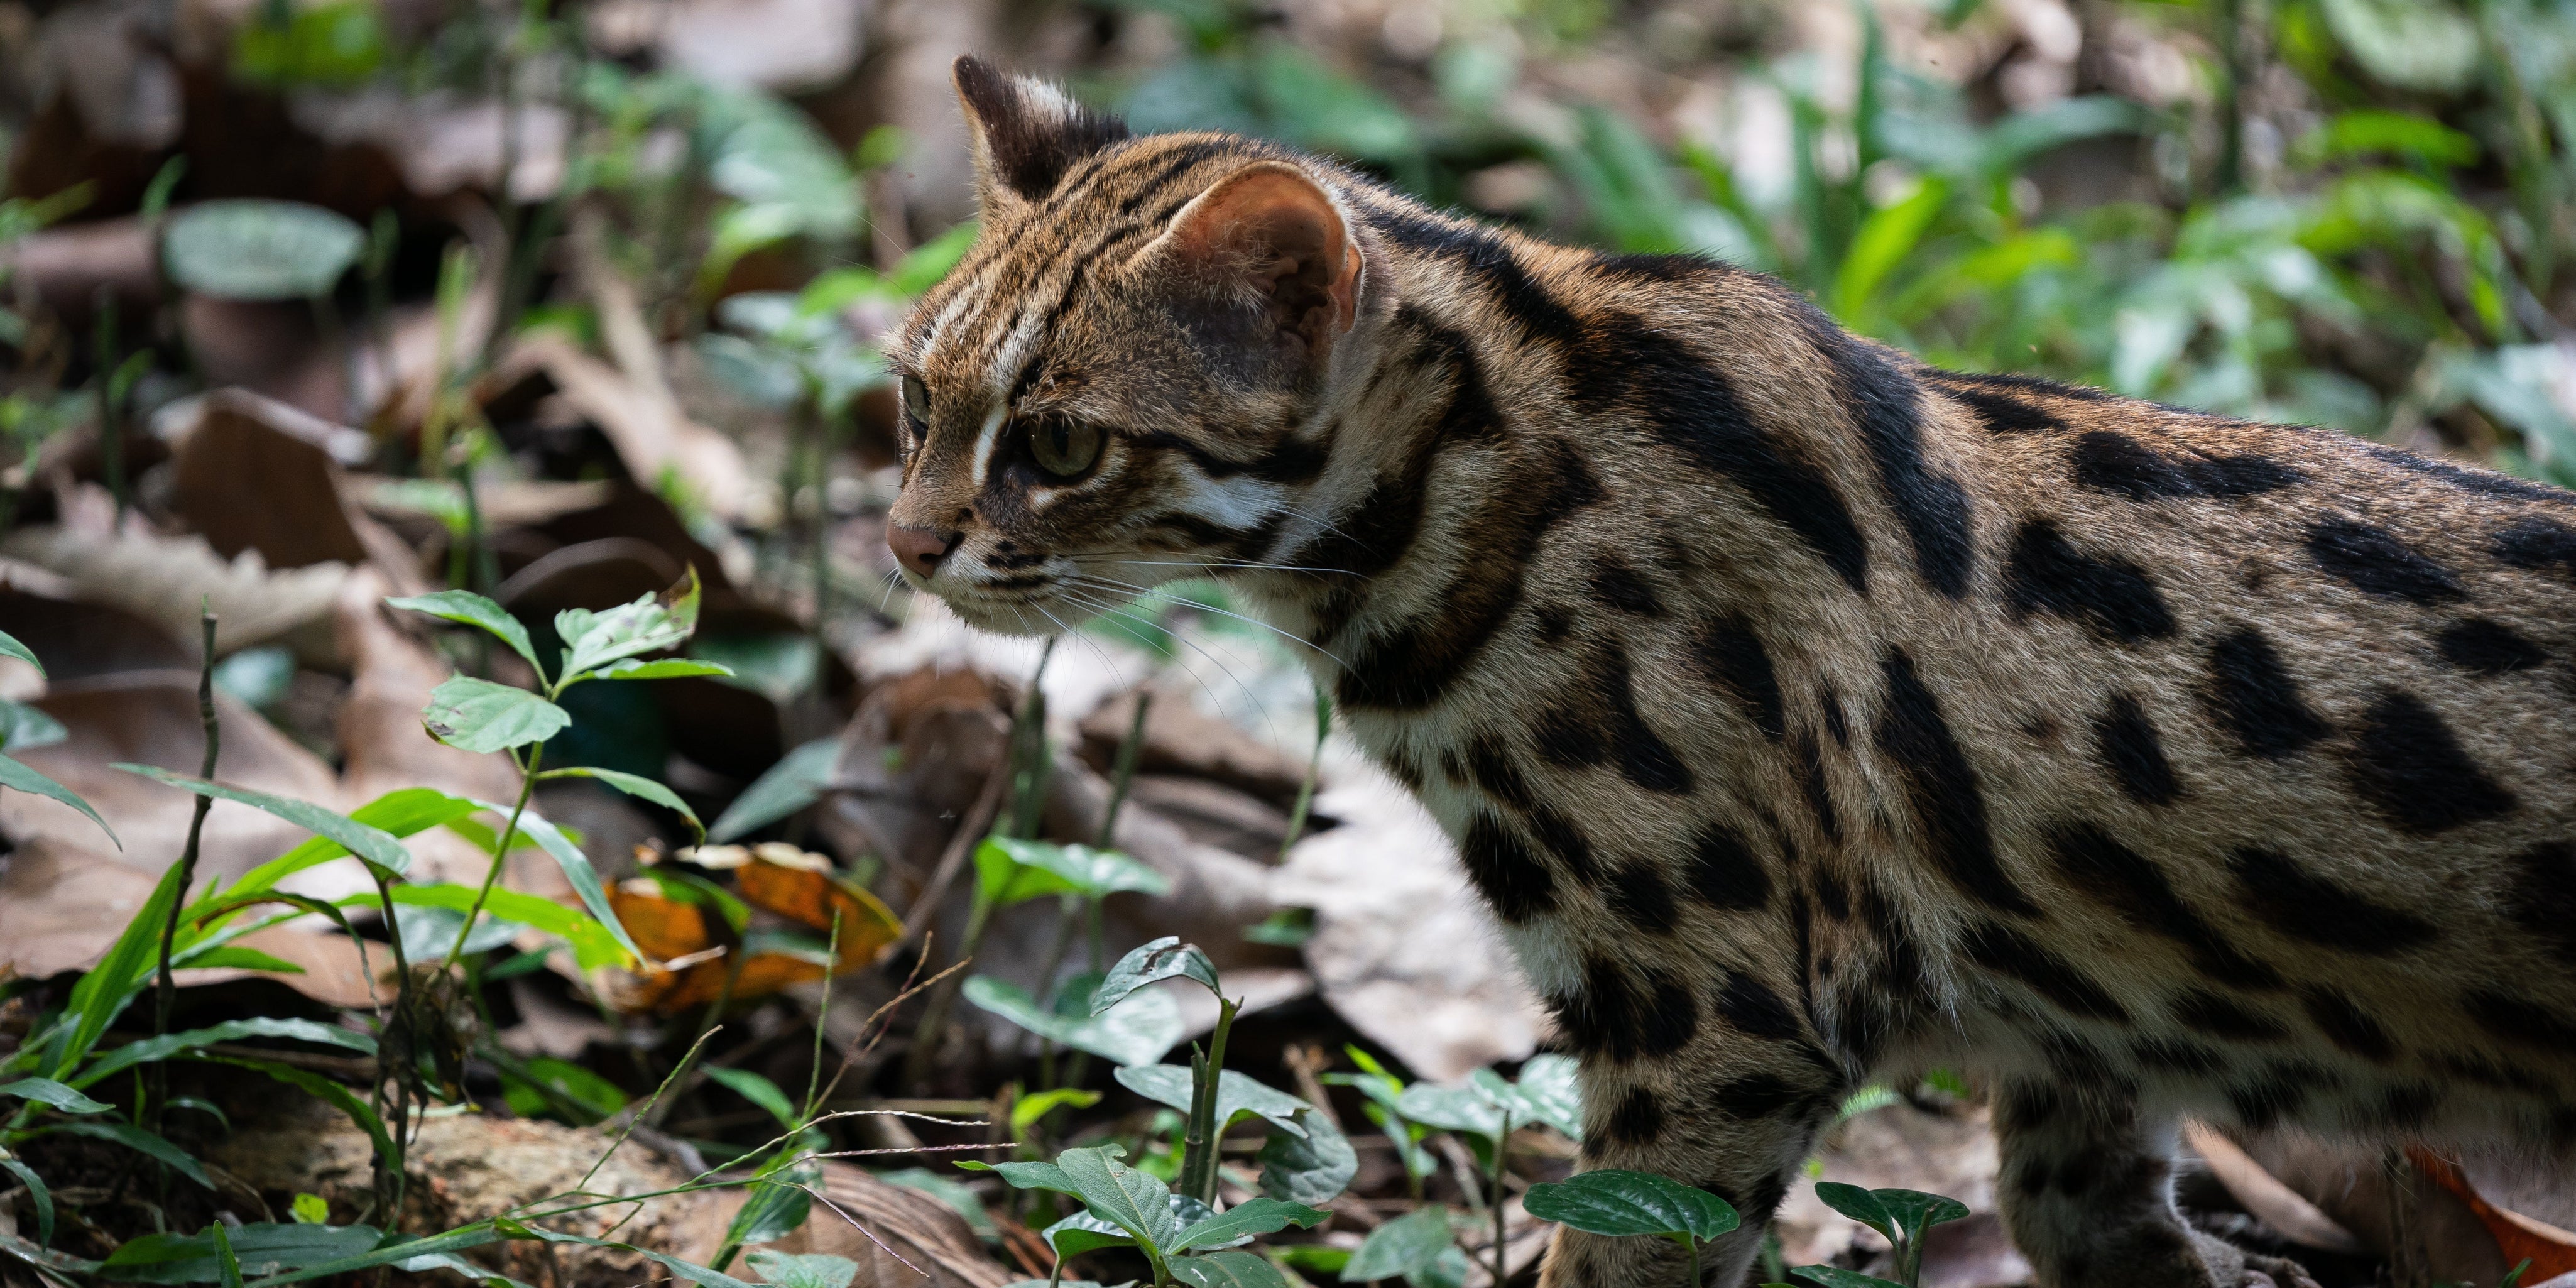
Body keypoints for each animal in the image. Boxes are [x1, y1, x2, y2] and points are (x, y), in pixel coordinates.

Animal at [881, 56, 2576, 1288]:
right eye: (913, 397)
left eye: (1059, 443)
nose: (900, 543)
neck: (1468, 480)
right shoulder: (2080, 1048)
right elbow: (2089, 1218)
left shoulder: (1714, 1016)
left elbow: (1621, 1252)